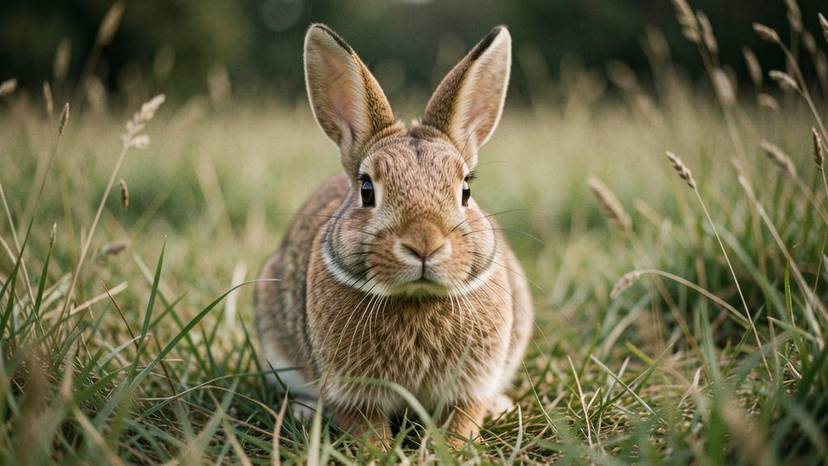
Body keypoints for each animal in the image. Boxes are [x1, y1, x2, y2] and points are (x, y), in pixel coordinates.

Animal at [255, 23, 533, 448]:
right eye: (367, 189)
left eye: (466, 189)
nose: (424, 245)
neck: (416, 298)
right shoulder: (350, 393)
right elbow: (365, 427)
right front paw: (380, 451)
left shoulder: (469, 387)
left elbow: (463, 420)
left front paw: (449, 448)